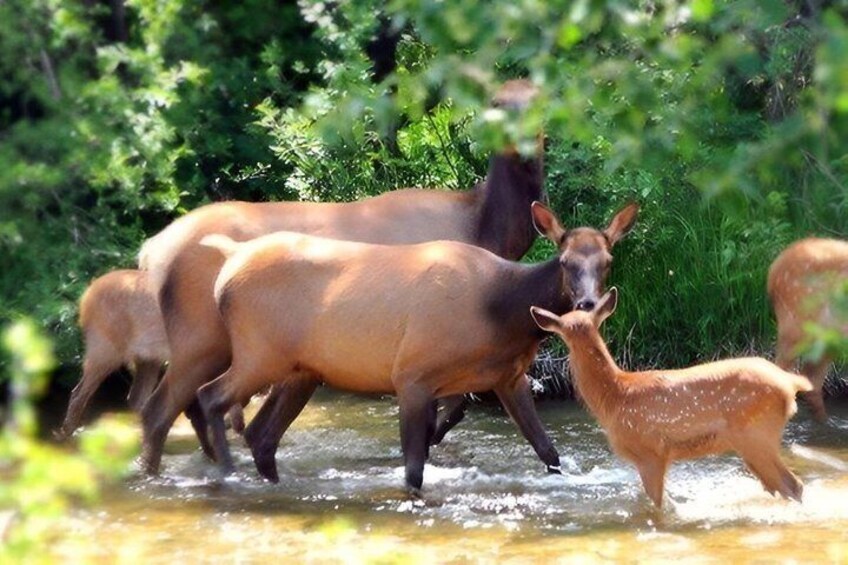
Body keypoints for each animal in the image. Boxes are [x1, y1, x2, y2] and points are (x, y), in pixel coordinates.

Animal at [56, 270, 246, 440]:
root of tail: (86, 296)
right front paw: (236, 427)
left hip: (147, 359)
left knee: (136, 399)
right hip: (105, 350)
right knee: (78, 394)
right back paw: (67, 435)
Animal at [136, 80, 564, 476]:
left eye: (538, 100)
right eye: (497, 104)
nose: (523, 141)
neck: (484, 227)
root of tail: (152, 250)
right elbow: (446, 408)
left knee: (186, 408)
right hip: (200, 336)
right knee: (160, 409)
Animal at [194, 201, 638, 491]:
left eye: (608, 261)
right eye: (565, 262)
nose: (587, 304)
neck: (501, 316)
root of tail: (229, 262)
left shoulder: (508, 378)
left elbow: (548, 451)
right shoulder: (411, 375)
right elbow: (413, 471)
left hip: (300, 371)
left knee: (261, 435)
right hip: (258, 351)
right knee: (210, 396)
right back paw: (225, 474)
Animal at [530, 288, 811, 509]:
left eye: (561, 334)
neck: (614, 396)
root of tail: (789, 383)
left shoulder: (650, 453)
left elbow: (659, 505)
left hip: (756, 435)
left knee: (793, 485)